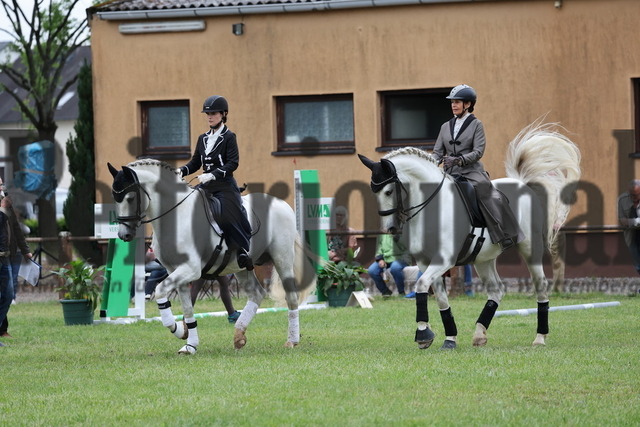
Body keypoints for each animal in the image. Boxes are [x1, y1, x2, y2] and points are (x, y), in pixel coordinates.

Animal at [108, 159, 316, 355]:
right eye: (115, 199)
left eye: (130, 198)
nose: (124, 235)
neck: (176, 216)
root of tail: (281, 204)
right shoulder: (176, 271)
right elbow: (187, 308)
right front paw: (189, 342)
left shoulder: (190, 269)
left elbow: (159, 291)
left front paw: (176, 328)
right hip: (240, 267)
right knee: (257, 294)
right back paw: (239, 336)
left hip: (282, 259)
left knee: (291, 297)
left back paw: (292, 340)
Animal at [359, 121, 581, 349]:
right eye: (375, 193)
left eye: (388, 192)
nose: (390, 229)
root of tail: (522, 183)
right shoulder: (425, 262)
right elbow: (440, 298)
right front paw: (448, 339)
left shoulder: (443, 261)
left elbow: (421, 286)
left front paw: (422, 334)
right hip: (484, 259)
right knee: (496, 290)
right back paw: (479, 334)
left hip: (530, 249)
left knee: (541, 286)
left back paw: (539, 337)